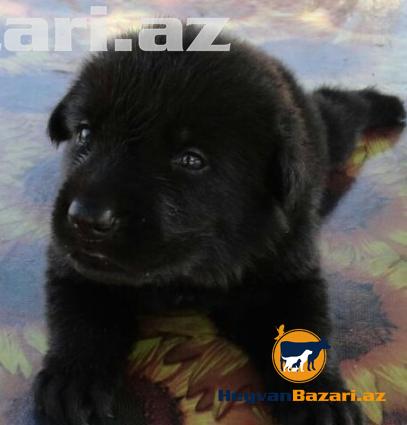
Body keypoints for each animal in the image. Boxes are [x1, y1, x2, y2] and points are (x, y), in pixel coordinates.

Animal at [33, 26, 406, 425]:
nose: (86, 217)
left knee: (342, 108)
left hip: (331, 136)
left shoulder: (287, 267)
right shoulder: (76, 266)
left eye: (191, 160)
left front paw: (319, 399)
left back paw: (385, 103)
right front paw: (75, 379)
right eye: (85, 134)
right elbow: (82, 316)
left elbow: (305, 322)